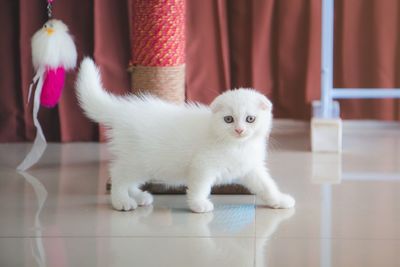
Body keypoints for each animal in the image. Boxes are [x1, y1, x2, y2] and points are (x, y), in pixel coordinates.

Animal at [76, 58, 294, 214]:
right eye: (229, 119)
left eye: (250, 119)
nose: (239, 130)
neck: (236, 146)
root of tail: (122, 110)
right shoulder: (203, 165)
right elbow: (200, 186)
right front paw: (199, 205)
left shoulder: (251, 168)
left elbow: (266, 185)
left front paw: (279, 200)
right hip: (138, 159)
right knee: (118, 175)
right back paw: (122, 201)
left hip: (142, 163)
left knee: (126, 178)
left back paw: (139, 196)